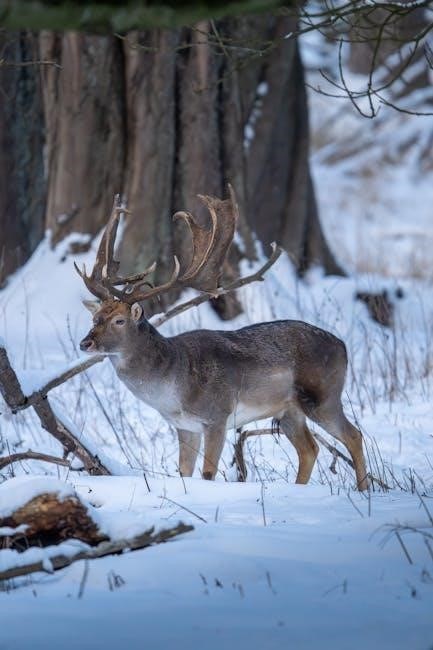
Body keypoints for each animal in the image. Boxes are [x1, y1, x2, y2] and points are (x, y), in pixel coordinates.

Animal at [76, 191, 369, 491]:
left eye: (119, 321)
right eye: (95, 317)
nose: (85, 343)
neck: (173, 387)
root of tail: (342, 346)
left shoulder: (217, 415)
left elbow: (208, 473)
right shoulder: (185, 426)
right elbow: (184, 472)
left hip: (323, 395)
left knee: (354, 435)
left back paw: (363, 489)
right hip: (289, 410)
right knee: (310, 449)